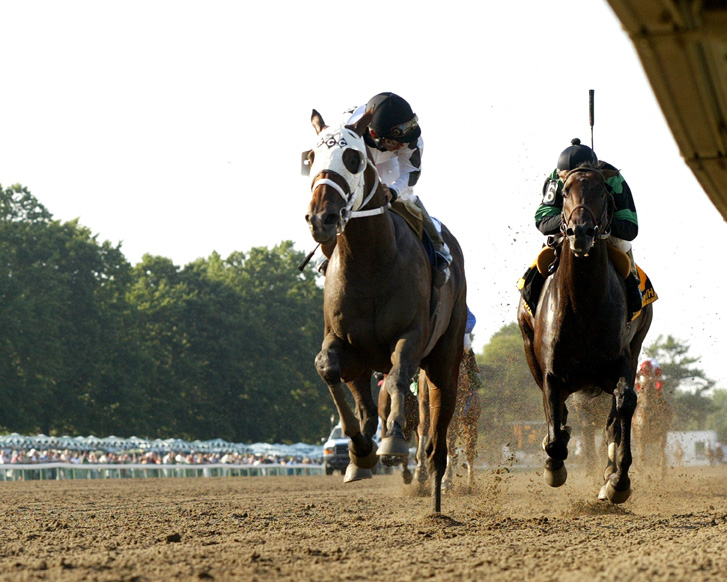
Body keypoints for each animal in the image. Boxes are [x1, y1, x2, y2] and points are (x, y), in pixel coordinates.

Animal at [306, 109, 466, 516]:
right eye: (311, 157)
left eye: (353, 158)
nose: (321, 219)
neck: (369, 261)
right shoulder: (342, 340)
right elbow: (328, 369)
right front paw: (361, 450)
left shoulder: (412, 334)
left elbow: (396, 378)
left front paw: (392, 440)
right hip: (364, 361)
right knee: (364, 403)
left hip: (445, 358)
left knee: (437, 433)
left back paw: (436, 497)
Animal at [516, 165, 656, 506]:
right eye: (564, 191)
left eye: (603, 192)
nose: (581, 232)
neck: (583, 304)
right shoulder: (551, 371)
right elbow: (554, 424)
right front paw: (553, 463)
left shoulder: (622, 362)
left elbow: (625, 403)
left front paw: (618, 480)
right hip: (528, 345)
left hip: (636, 344)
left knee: (612, 417)